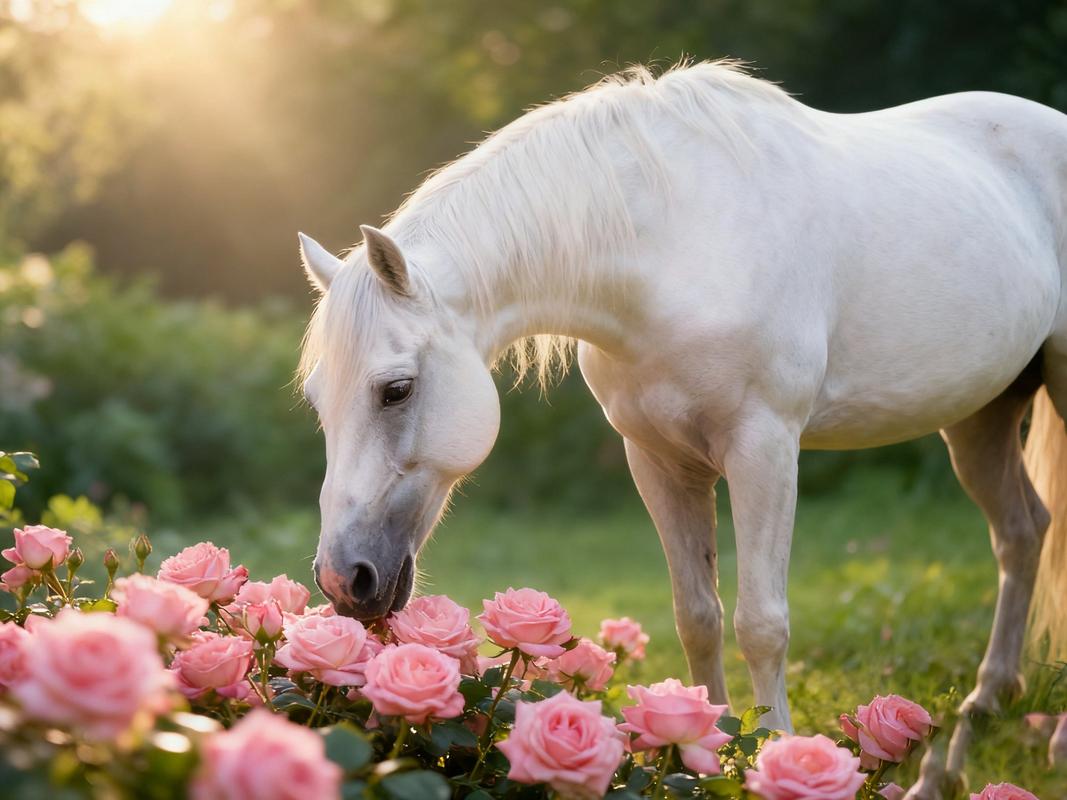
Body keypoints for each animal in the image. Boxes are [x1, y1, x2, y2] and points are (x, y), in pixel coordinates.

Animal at [296, 61, 1067, 796]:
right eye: (317, 400)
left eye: (395, 389)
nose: (343, 580)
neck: (679, 245)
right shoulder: (658, 459)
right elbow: (697, 616)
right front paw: (700, 757)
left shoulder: (765, 447)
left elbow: (762, 623)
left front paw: (776, 758)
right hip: (980, 416)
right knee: (1022, 532)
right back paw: (960, 746)